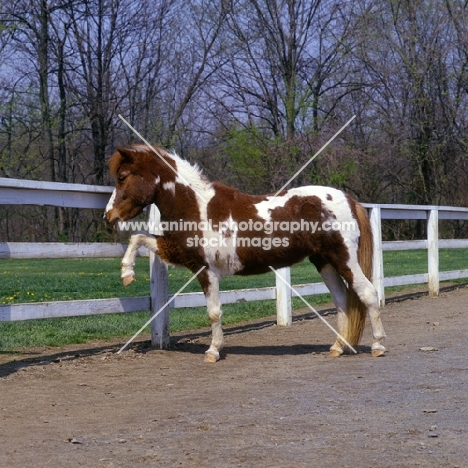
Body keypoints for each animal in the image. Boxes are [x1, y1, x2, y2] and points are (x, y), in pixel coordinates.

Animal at [104, 145, 386, 362]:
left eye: (123, 176)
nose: (109, 216)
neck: (196, 206)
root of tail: (349, 200)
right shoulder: (176, 251)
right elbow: (138, 237)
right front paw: (126, 274)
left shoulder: (205, 270)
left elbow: (214, 312)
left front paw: (213, 351)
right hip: (325, 262)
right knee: (341, 301)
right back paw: (338, 347)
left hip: (344, 259)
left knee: (368, 294)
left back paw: (378, 346)